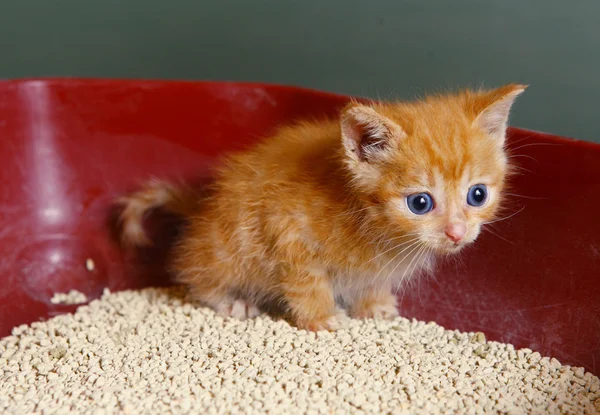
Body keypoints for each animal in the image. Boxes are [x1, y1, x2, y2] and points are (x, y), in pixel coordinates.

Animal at [117, 83, 524, 332]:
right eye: (420, 202)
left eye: (477, 195)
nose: (457, 232)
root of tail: (203, 208)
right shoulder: (286, 229)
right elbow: (307, 282)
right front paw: (322, 317)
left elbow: (372, 282)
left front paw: (374, 306)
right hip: (226, 248)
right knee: (193, 271)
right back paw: (232, 301)